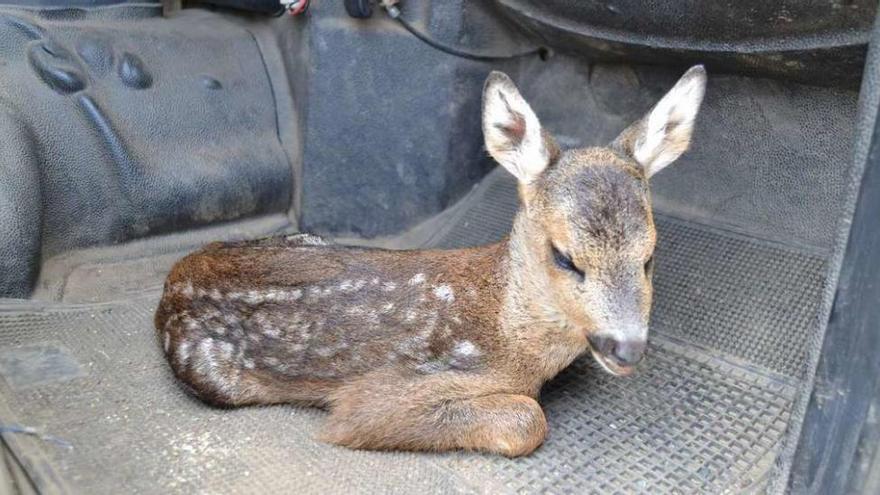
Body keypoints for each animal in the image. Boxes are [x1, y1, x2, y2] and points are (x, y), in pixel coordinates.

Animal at [156, 65, 708, 458]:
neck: (510, 333)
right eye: (565, 257)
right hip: (211, 373)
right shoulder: (381, 395)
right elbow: (528, 419)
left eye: (649, 256)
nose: (628, 349)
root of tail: (177, 274)